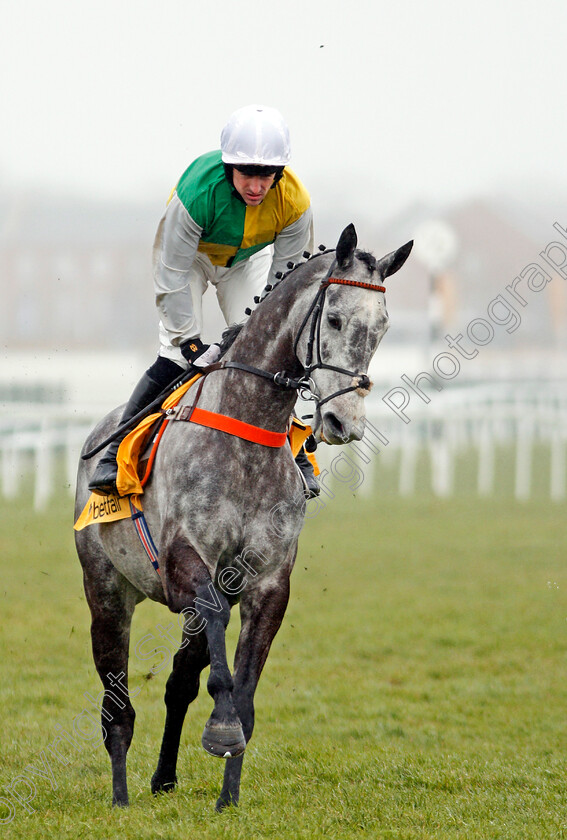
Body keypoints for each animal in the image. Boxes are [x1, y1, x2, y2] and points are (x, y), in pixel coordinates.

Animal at [74, 221, 412, 808]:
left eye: (382, 327)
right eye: (335, 318)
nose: (343, 422)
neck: (248, 430)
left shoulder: (268, 581)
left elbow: (244, 690)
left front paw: (228, 796)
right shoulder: (188, 565)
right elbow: (220, 669)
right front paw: (221, 730)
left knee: (179, 682)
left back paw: (164, 778)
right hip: (107, 593)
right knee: (117, 706)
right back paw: (120, 796)